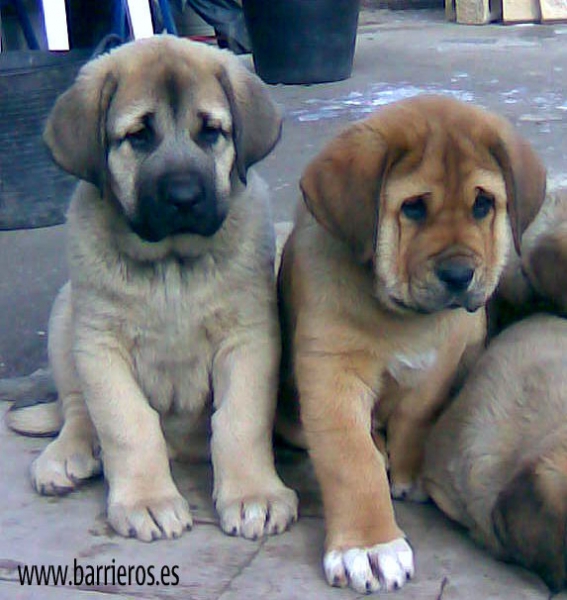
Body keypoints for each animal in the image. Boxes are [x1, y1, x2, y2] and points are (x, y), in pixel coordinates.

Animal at [31, 36, 300, 544]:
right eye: (139, 136)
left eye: (211, 132)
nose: (184, 198)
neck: (172, 267)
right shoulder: (99, 345)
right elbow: (127, 425)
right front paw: (147, 501)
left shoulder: (249, 339)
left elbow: (240, 421)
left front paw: (253, 494)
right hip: (63, 311)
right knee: (75, 407)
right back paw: (65, 456)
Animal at [278, 96, 548, 592]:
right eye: (414, 208)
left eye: (483, 204)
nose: (460, 275)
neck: (402, 320)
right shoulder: (332, 372)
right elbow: (352, 459)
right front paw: (369, 545)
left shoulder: (443, 359)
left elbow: (416, 415)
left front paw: (410, 470)